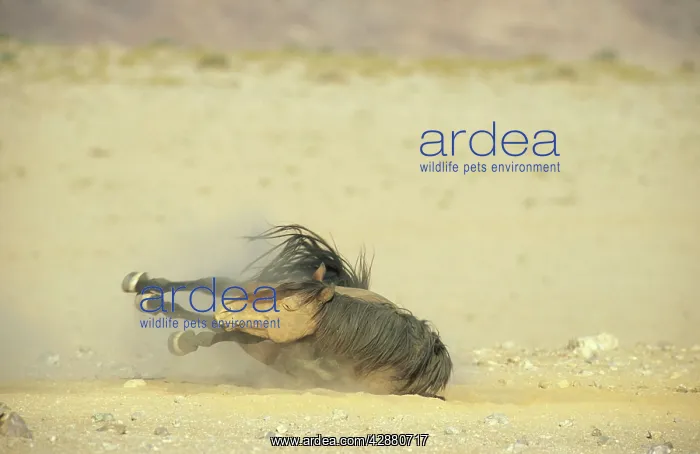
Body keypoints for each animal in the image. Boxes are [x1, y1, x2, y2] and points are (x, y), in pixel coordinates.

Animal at [121, 224, 452, 400]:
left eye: (289, 307)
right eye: (279, 295)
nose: (229, 312)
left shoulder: (260, 333)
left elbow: (211, 330)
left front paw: (177, 333)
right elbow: (209, 299)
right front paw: (145, 290)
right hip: (246, 292)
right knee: (214, 286)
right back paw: (142, 285)